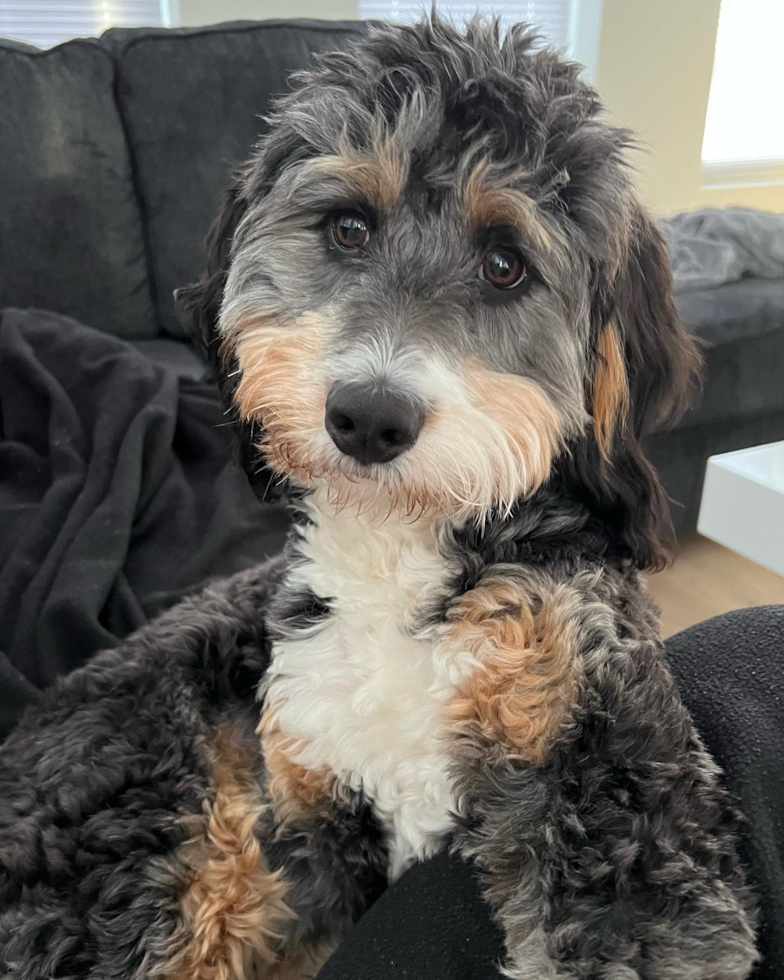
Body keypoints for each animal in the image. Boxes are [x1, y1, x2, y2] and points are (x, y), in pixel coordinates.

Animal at [0, 15, 760, 980]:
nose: (367, 416)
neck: (398, 558)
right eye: (349, 227)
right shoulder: (309, 813)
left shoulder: (608, 783)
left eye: (506, 263)